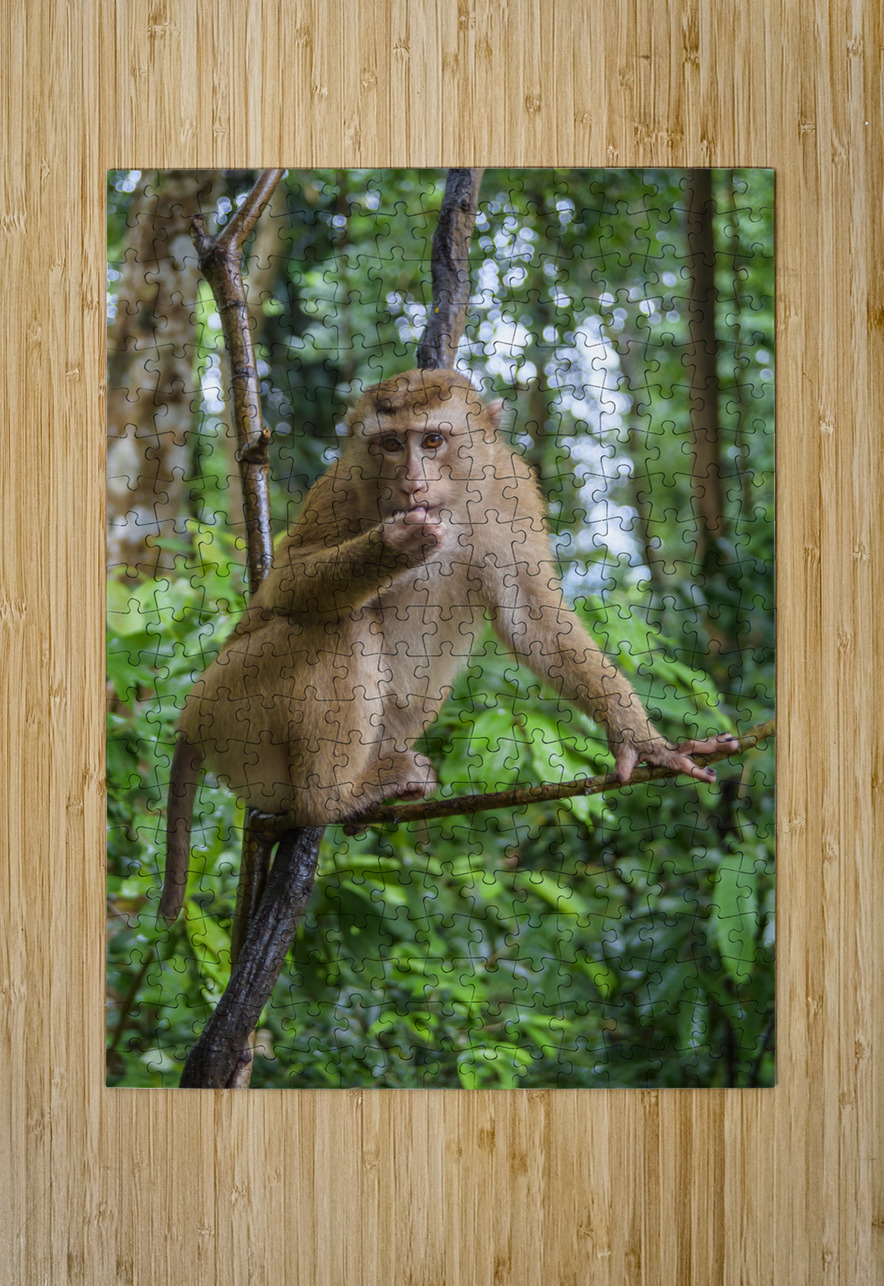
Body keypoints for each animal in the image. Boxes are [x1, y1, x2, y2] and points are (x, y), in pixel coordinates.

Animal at [159, 368, 735, 922]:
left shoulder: (511, 488)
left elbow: (535, 622)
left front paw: (643, 742)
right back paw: (332, 799)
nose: (412, 481)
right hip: (231, 707)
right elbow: (285, 584)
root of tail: (188, 719)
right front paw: (393, 545)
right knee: (340, 625)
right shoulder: (344, 483)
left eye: (433, 439)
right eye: (391, 444)